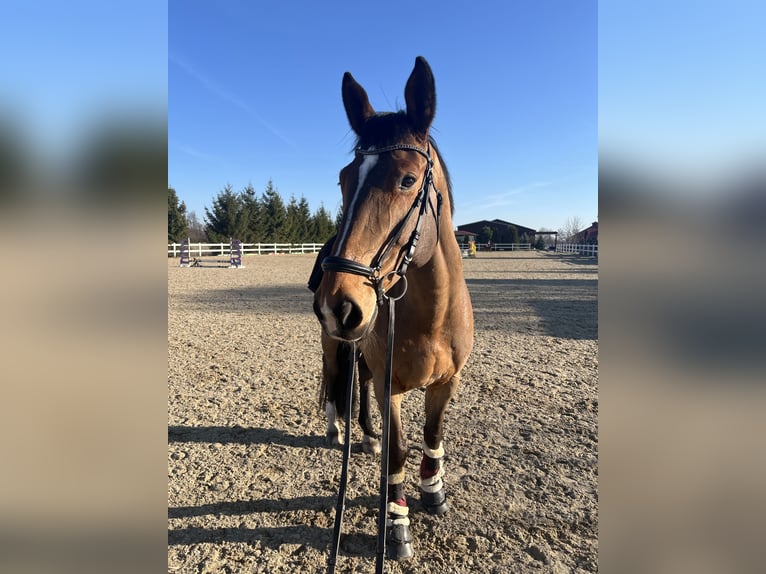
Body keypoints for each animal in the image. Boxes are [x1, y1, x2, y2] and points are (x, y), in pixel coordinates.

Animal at [311, 56, 474, 562]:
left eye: (407, 179)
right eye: (344, 179)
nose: (338, 304)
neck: (432, 319)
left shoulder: (446, 382)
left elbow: (433, 436)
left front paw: (433, 493)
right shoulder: (394, 390)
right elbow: (398, 452)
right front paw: (398, 526)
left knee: (359, 379)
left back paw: (365, 434)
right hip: (333, 343)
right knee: (334, 377)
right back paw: (337, 430)